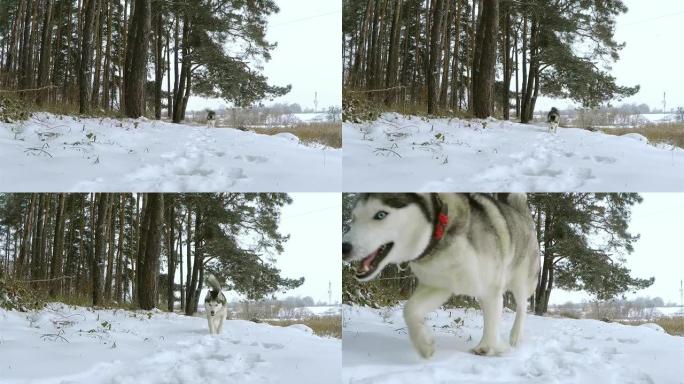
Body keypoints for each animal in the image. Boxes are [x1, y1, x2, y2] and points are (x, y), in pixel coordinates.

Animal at [342, 194, 540, 358]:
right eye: (354, 218)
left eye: (380, 215)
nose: (344, 247)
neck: (440, 230)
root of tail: (523, 215)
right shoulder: (438, 284)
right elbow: (410, 309)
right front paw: (424, 343)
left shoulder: (490, 287)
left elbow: (493, 320)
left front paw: (487, 347)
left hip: (519, 281)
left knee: (521, 306)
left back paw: (515, 336)